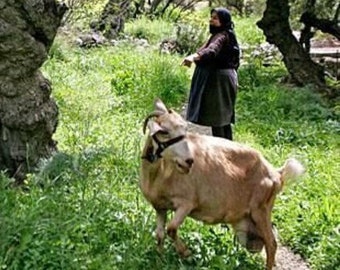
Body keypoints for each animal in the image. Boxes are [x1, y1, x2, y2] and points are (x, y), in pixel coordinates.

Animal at [139, 98, 304, 268]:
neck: (160, 174)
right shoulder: (159, 207)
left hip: (261, 209)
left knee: (272, 243)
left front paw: (186, 253)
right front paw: (160, 260)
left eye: (184, 129)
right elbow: (159, 235)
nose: (189, 161)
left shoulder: (187, 203)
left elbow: (171, 228)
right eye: (164, 132)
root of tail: (276, 173)